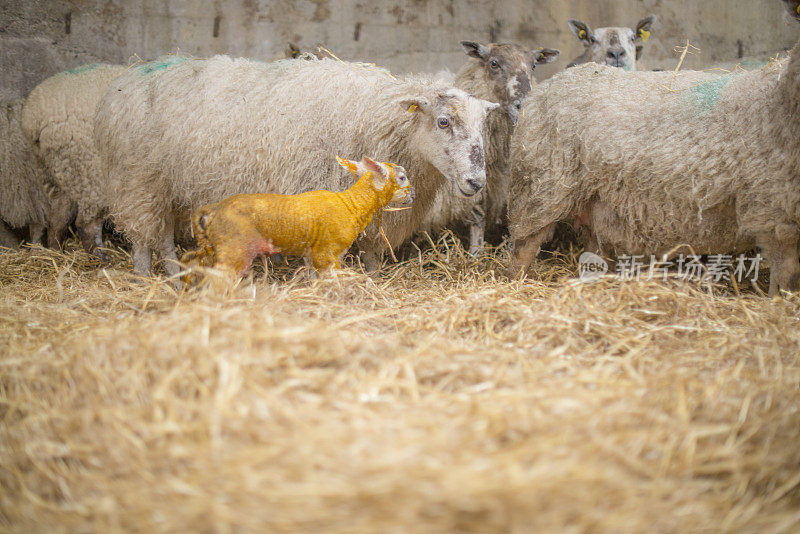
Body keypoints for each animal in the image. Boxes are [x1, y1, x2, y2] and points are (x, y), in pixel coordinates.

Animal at [20, 62, 126, 255]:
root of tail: (33, 116)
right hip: (90, 172)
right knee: (86, 224)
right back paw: (100, 257)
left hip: (58, 171)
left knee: (58, 218)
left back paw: (57, 253)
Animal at [95, 57, 500, 278]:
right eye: (444, 122)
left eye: (483, 125)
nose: (476, 181)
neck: (377, 117)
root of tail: (125, 80)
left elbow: (371, 254)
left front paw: (373, 280)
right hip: (138, 181)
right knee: (143, 239)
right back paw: (145, 278)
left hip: (169, 188)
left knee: (162, 236)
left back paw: (174, 275)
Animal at [422, 42, 560, 255]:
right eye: (494, 63)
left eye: (534, 66)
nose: (523, 105)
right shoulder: (472, 172)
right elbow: (478, 214)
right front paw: (476, 253)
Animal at [510, 0, 800, 298]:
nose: (617, 53)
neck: (777, 98)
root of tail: (553, 81)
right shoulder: (774, 216)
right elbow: (784, 282)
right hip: (541, 187)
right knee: (523, 248)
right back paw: (515, 284)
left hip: (594, 201)